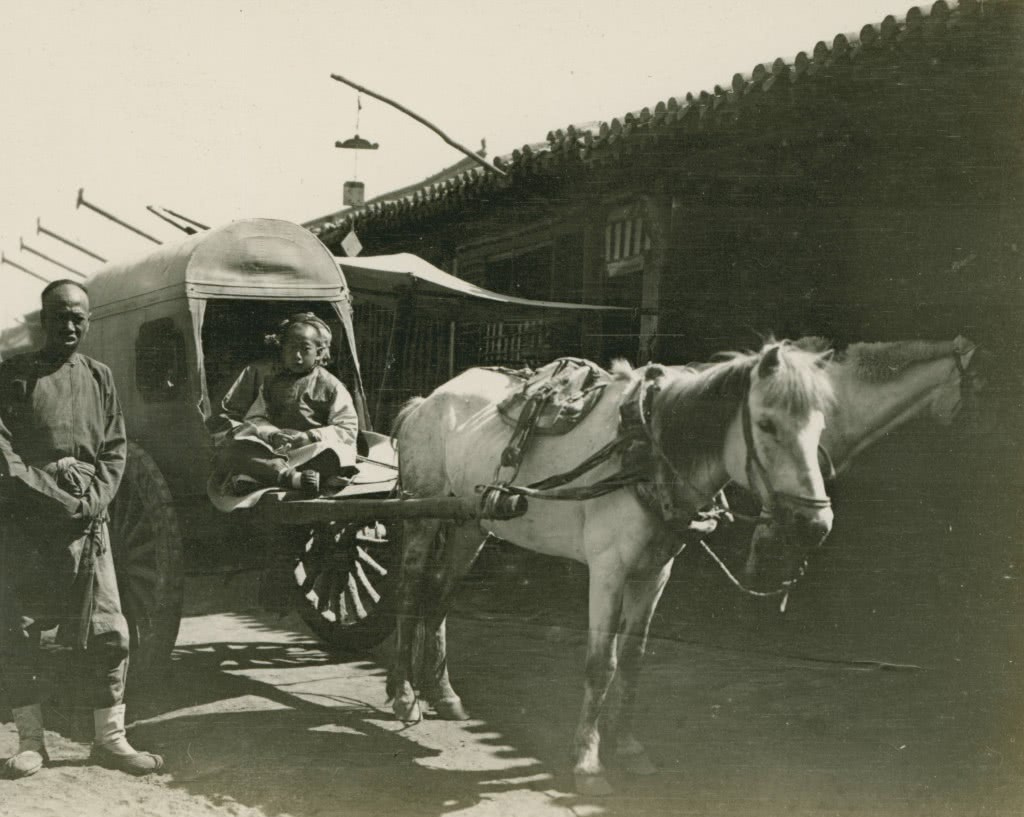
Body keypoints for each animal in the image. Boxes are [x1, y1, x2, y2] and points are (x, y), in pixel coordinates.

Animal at [387, 341, 835, 798]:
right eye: (766, 424)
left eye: (820, 428)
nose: (815, 525)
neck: (648, 453)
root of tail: (428, 400)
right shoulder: (608, 570)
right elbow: (601, 664)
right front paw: (587, 762)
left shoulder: (655, 574)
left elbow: (634, 660)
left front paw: (628, 746)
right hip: (422, 514)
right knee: (409, 591)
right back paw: (404, 694)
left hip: (470, 523)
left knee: (441, 592)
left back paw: (443, 693)